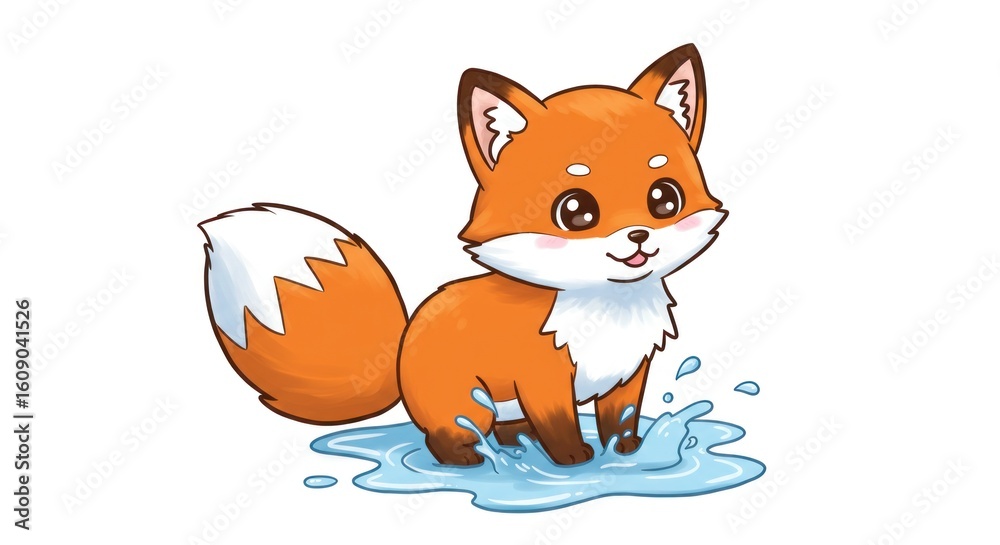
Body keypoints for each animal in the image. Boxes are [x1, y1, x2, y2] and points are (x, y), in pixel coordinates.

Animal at [198, 44, 726, 466]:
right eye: (575, 211)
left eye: (665, 199)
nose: (638, 236)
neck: (605, 311)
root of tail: (399, 353)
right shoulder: (542, 378)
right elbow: (559, 423)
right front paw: (573, 459)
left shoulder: (627, 374)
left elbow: (621, 419)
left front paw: (626, 452)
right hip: (468, 403)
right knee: (445, 437)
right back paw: (468, 458)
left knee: (508, 428)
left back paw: (515, 446)